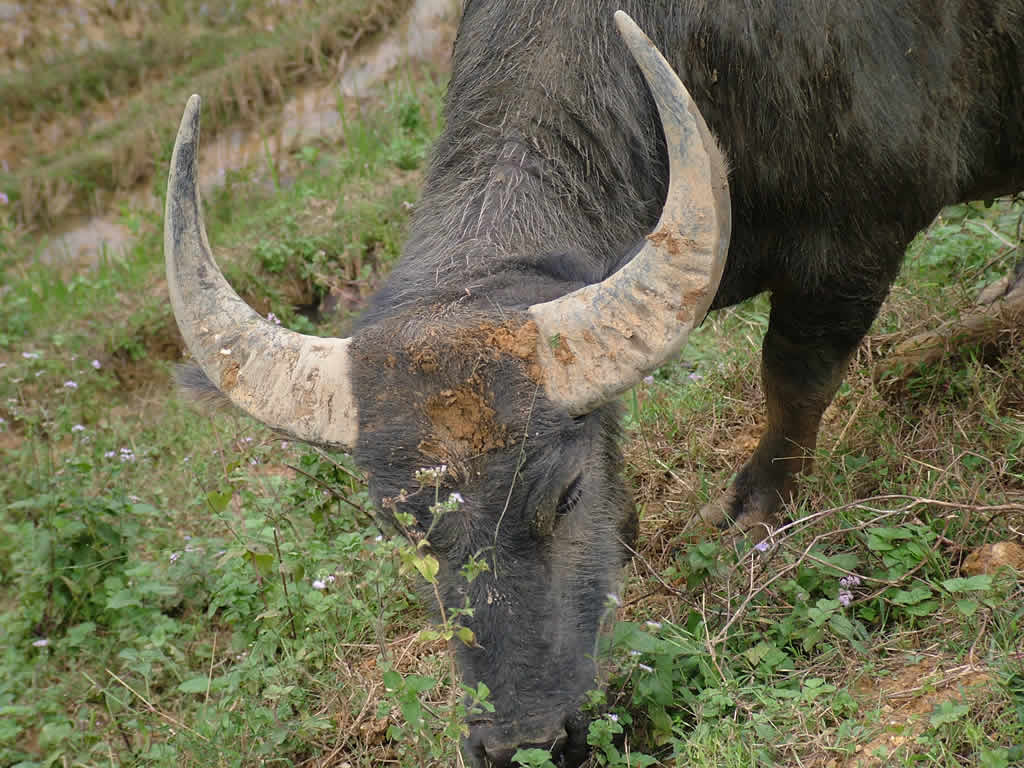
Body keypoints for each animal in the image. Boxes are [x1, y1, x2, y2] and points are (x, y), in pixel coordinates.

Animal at [164, 1, 1023, 765]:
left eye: (565, 493)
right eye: (403, 527)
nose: (523, 744)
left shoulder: (853, 247)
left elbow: (793, 376)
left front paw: (753, 511)